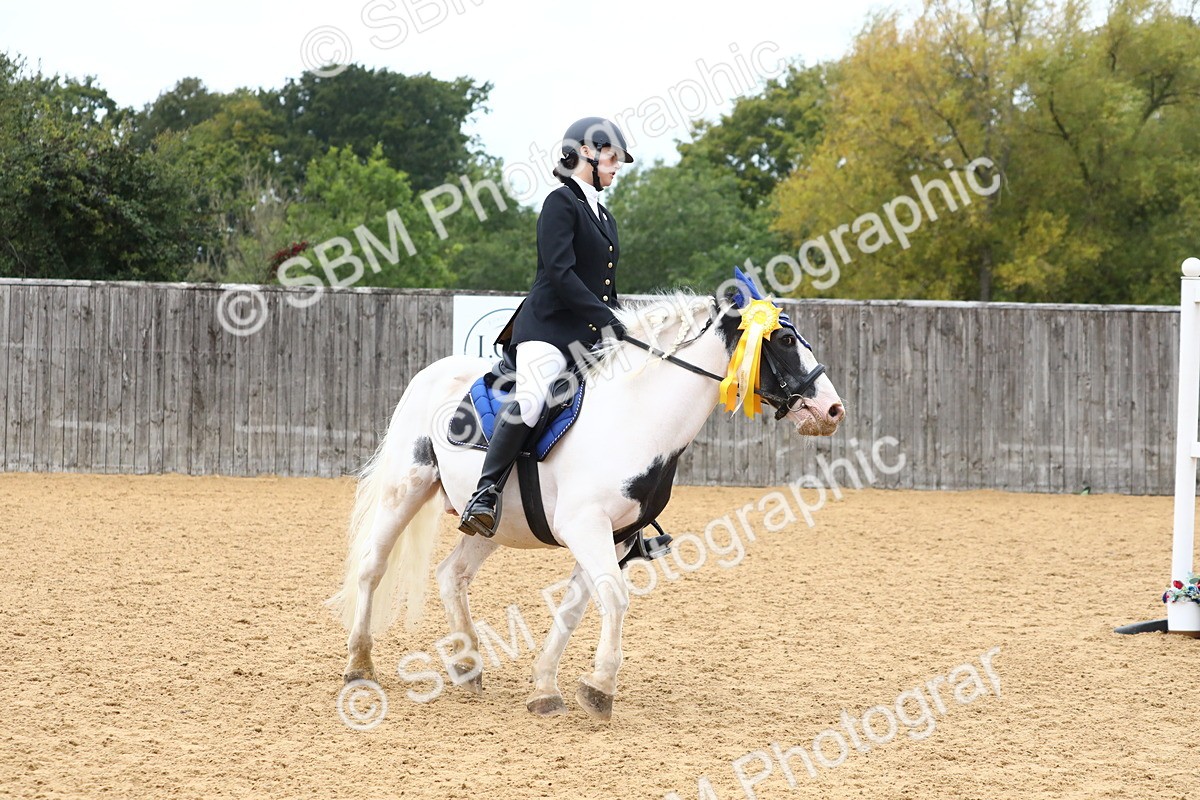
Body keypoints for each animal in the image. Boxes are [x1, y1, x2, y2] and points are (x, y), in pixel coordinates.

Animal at [327, 284, 844, 721]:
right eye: (783, 340)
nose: (832, 410)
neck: (637, 415)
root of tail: (431, 373)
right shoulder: (584, 526)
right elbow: (614, 598)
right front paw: (600, 689)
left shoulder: (613, 536)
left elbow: (574, 608)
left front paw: (545, 689)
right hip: (407, 488)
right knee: (372, 566)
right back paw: (359, 665)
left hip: (497, 522)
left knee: (451, 574)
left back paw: (469, 664)